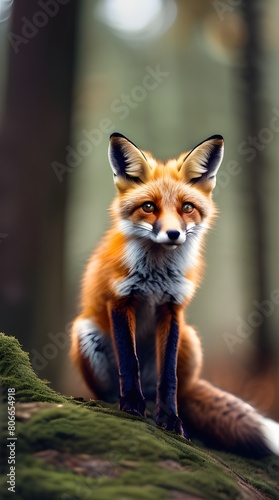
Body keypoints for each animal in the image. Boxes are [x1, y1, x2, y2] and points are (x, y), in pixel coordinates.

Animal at [71, 133, 278, 458]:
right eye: (148, 206)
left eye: (187, 207)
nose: (173, 234)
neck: (156, 275)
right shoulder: (120, 299)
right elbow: (129, 361)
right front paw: (131, 404)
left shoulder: (172, 307)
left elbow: (168, 376)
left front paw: (171, 420)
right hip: (85, 330)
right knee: (111, 387)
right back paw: (122, 400)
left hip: (190, 339)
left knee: (174, 388)